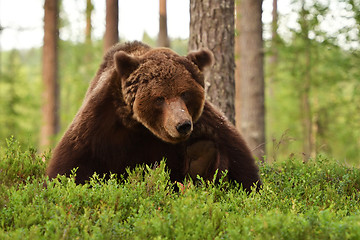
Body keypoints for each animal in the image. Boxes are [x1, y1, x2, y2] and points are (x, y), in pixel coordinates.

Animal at [47, 41, 262, 191]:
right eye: (160, 98)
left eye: (185, 93)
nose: (182, 125)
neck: (142, 128)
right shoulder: (101, 125)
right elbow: (69, 167)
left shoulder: (206, 123)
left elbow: (241, 164)